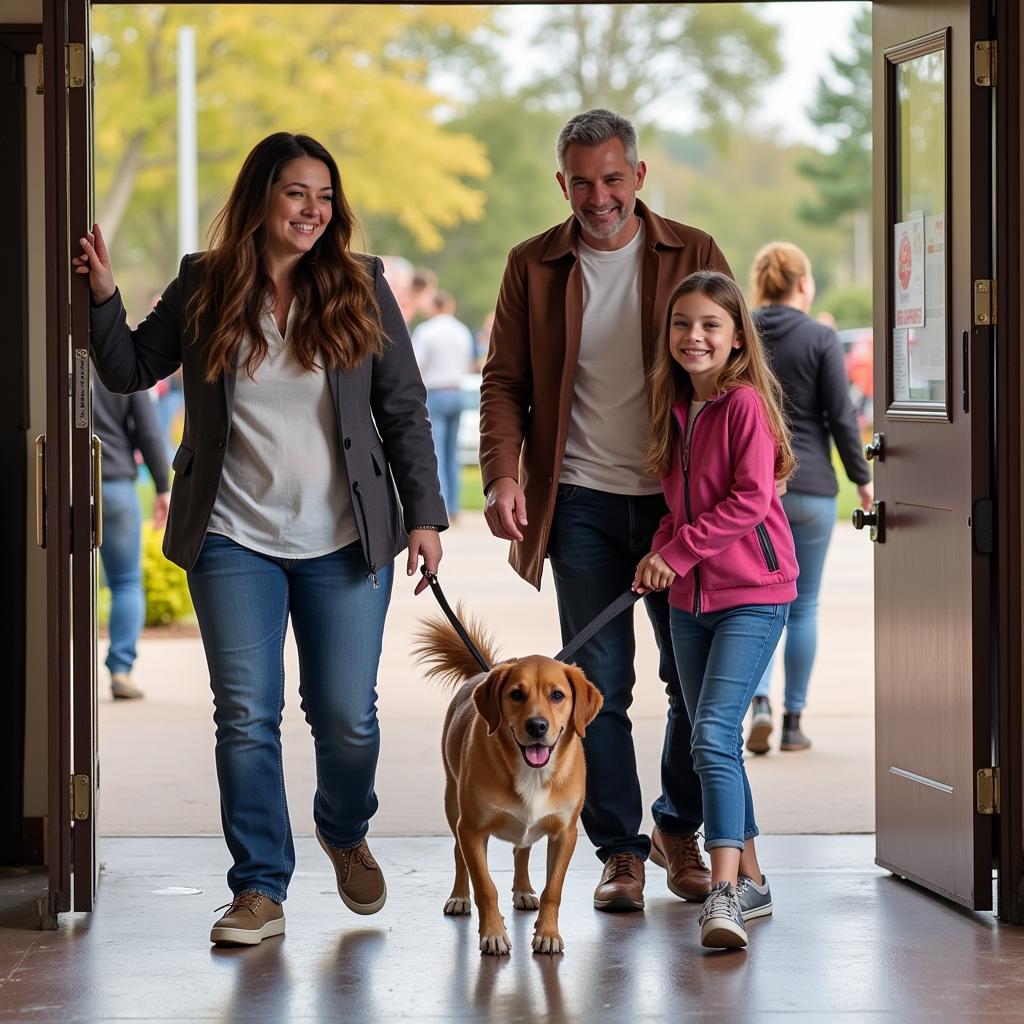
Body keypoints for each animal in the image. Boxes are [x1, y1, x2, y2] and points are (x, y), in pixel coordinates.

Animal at [409, 610, 598, 954]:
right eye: (516, 695)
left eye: (557, 695)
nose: (537, 726)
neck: (532, 773)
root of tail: (484, 673)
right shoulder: (472, 830)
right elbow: (486, 887)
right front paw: (493, 934)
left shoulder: (565, 833)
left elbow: (553, 889)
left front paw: (548, 933)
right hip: (453, 805)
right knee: (458, 854)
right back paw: (459, 896)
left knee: (521, 851)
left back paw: (523, 890)